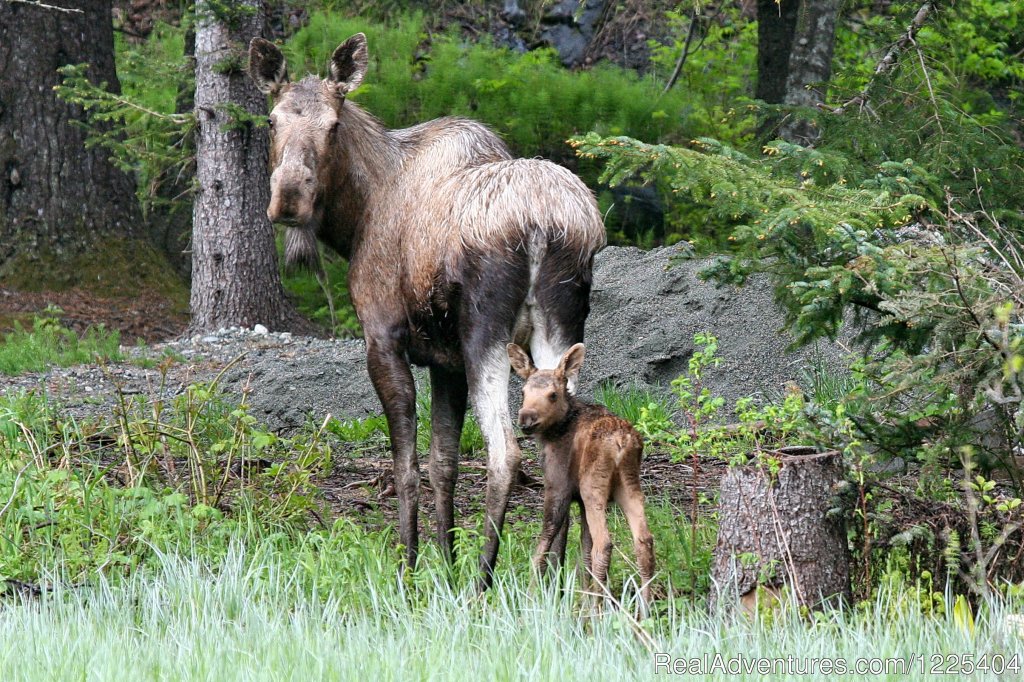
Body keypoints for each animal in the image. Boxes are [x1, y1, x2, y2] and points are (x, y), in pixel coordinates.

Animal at [246, 33, 602, 585]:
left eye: (333, 124)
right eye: (271, 120)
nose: (288, 200)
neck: (356, 216)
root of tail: (548, 225)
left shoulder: (384, 338)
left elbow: (407, 465)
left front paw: (410, 568)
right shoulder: (445, 361)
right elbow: (443, 464)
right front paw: (445, 564)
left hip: (487, 334)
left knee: (506, 454)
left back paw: (483, 580)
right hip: (562, 329)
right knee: (558, 446)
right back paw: (552, 580)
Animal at [505, 342, 655, 602]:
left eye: (553, 394)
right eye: (523, 392)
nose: (526, 419)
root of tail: (622, 442)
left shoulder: (557, 485)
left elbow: (546, 539)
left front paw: (531, 595)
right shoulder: (580, 503)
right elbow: (583, 550)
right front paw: (581, 599)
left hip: (592, 486)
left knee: (604, 544)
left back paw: (599, 607)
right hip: (629, 484)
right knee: (643, 540)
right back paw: (643, 608)